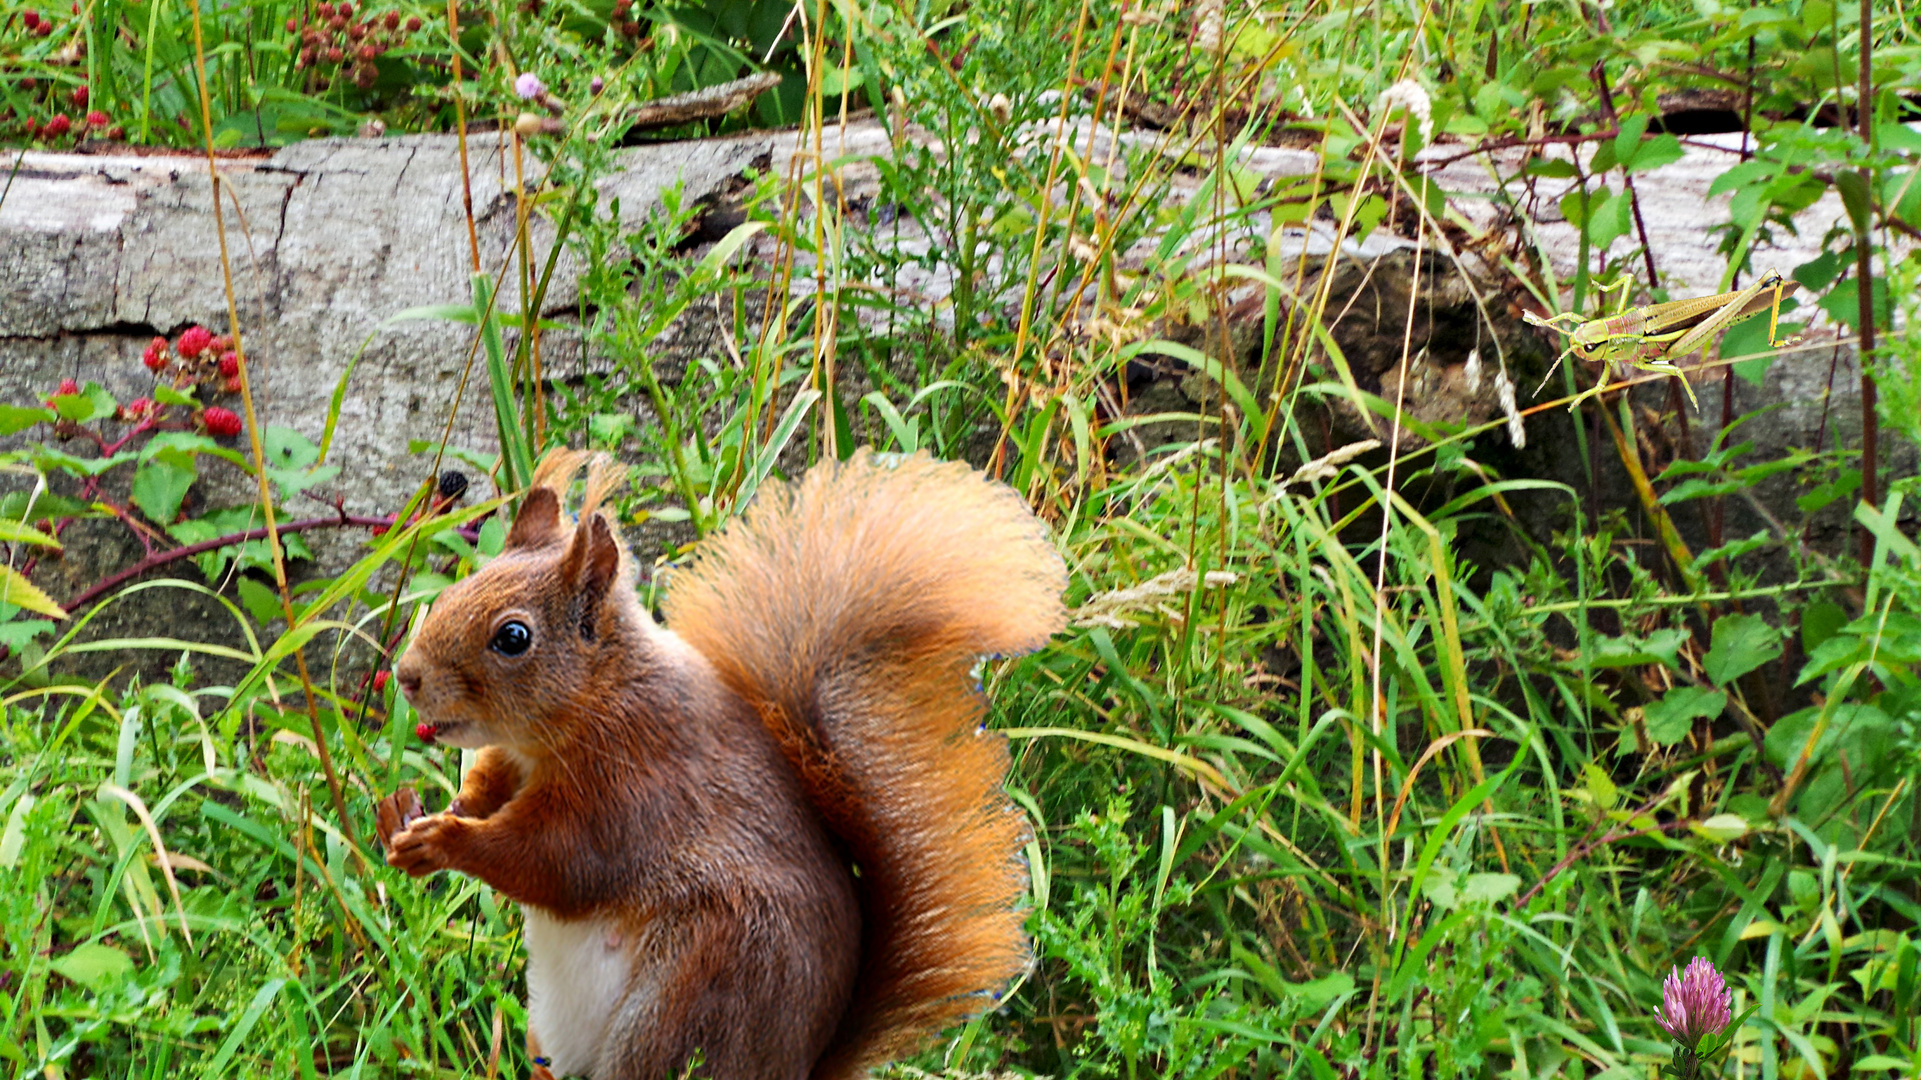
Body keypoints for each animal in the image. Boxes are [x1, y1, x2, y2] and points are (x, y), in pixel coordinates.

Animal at [370, 445, 1068, 1076]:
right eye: (460, 586)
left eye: (513, 637)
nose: (406, 675)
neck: (583, 710)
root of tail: (799, 1069)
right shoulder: (512, 762)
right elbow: (484, 793)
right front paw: (405, 818)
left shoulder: (634, 788)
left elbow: (553, 864)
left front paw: (445, 841)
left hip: (691, 997)